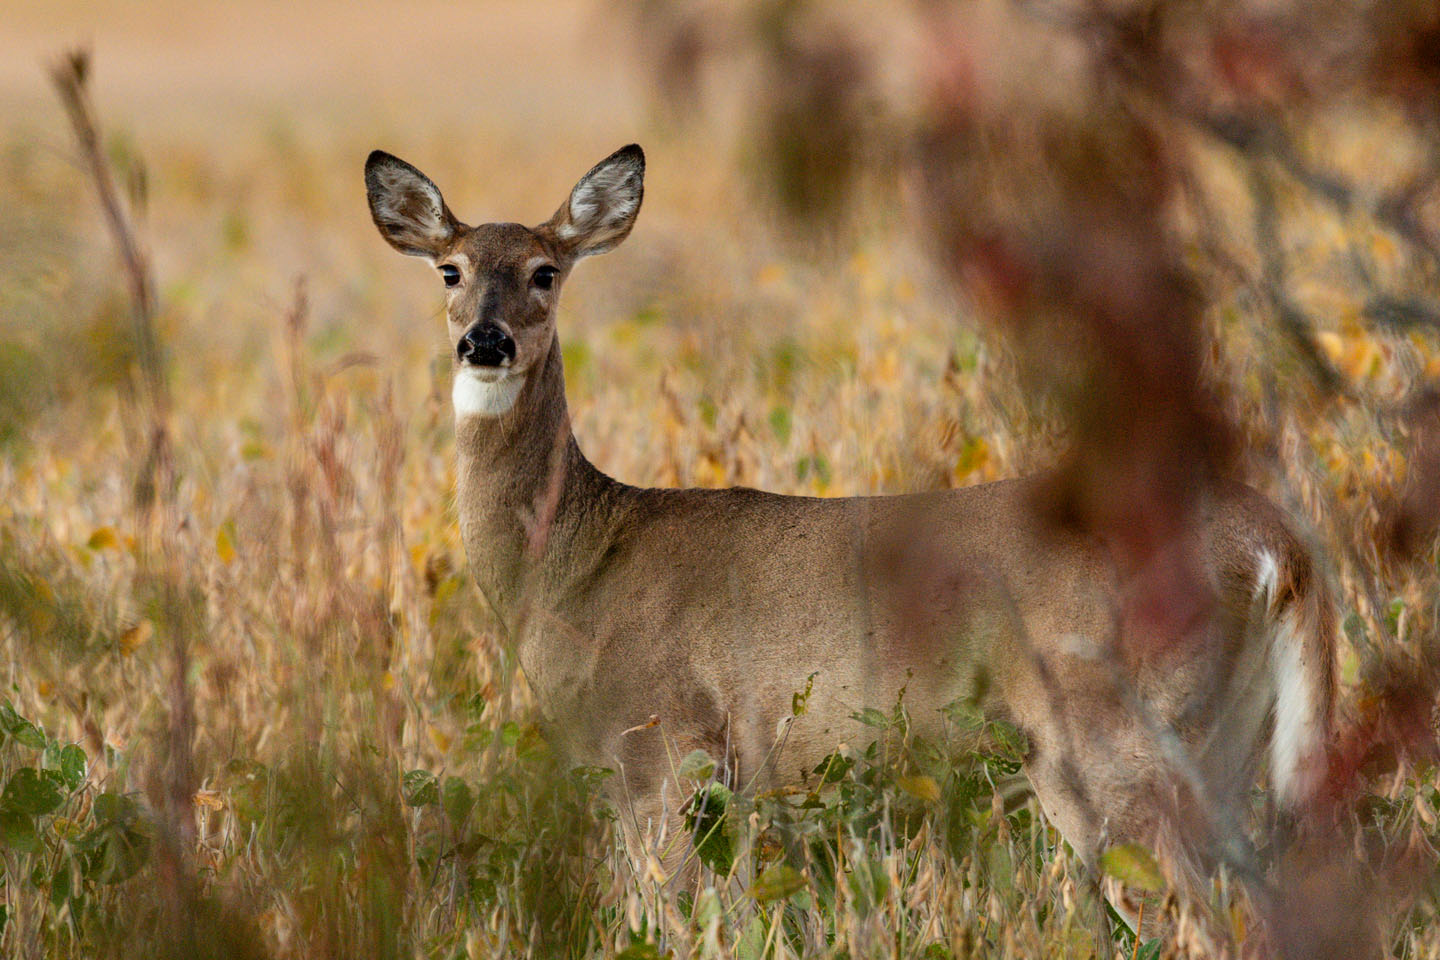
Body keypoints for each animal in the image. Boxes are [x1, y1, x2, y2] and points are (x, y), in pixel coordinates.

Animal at [365, 146, 1330, 915]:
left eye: (545, 270)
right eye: (449, 269)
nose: (485, 342)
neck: (575, 569)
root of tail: (1278, 549)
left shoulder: (666, 744)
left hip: (1109, 738)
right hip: (1231, 739)